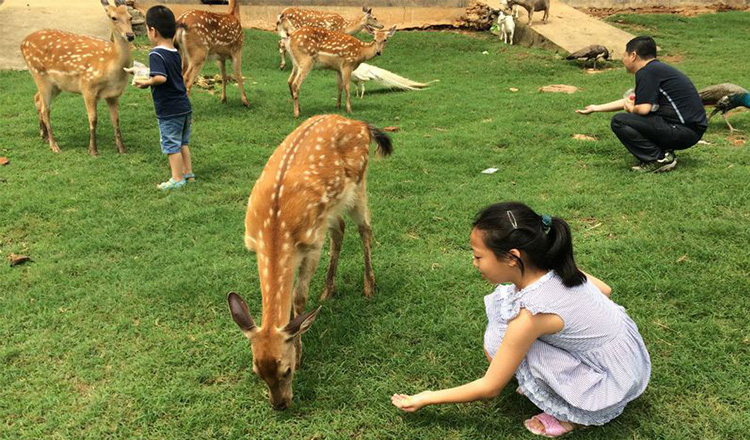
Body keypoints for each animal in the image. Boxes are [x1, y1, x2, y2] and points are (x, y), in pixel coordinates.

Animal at [19, 0, 134, 155]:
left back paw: (44, 136)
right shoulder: (88, 86)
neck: (110, 63)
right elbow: (93, 119)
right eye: (113, 17)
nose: (130, 35)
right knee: (45, 109)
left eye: (130, 17)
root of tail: (22, 43)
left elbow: (116, 120)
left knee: (37, 99)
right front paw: (93, 150)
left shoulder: (113, 94)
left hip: (55, 85)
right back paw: (54, 146)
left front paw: (122, 149)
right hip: (38, 73)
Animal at [228, 113, 394, 410]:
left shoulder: (311, 242)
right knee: (340, 229)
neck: (275, 230)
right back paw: (328, 291)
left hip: (359, 183)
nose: (280, 404)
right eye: (257, 371)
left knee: (365, 227)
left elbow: (299, 296)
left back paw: (368, 287)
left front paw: (301, 348)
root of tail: (361, 124)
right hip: (332, 207)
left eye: (287, 370)